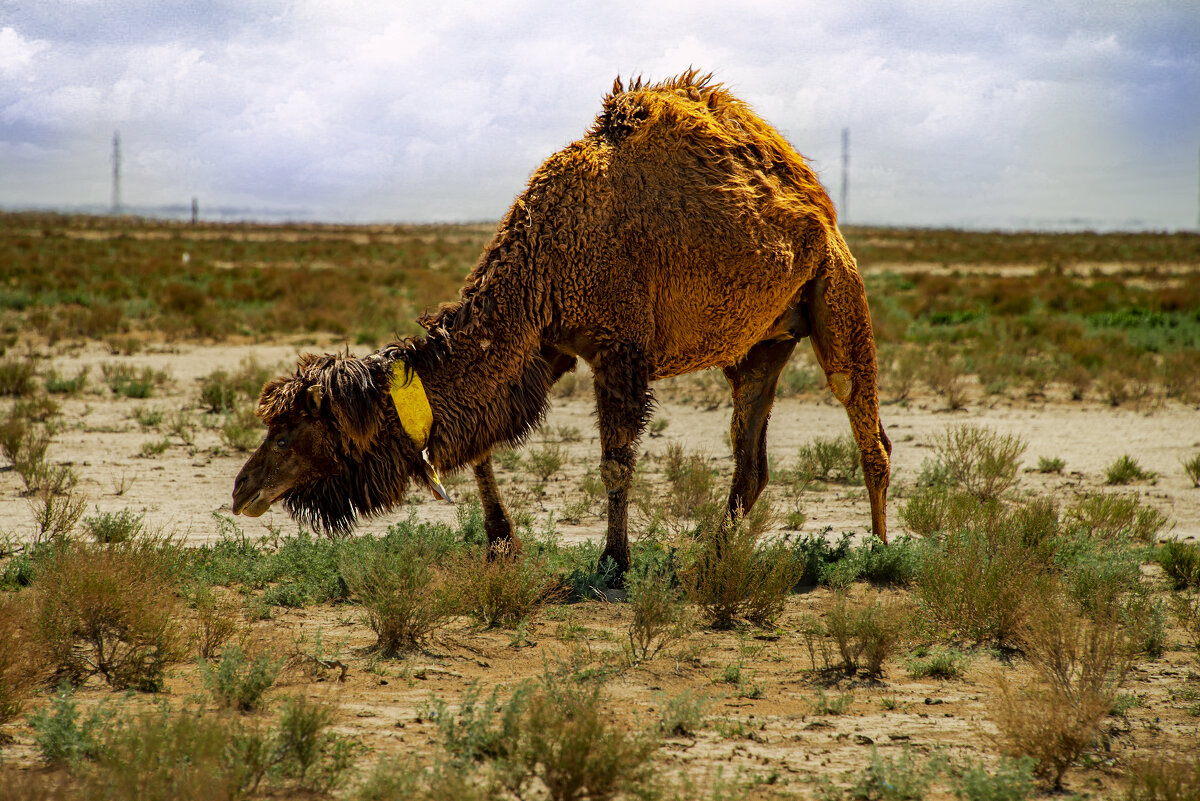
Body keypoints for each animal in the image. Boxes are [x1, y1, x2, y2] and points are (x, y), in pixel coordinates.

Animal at [231, 70, 892, 575]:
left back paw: (880, 555)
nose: (242, 490)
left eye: (288, 433)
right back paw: (713, 554)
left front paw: (613, 564)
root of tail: (816, 197)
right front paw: (501, 544)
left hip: (835, 286)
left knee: (864, 421)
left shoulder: (619, 346)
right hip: (762, 342)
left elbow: (616, 461)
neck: (546, 253)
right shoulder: (547, 345)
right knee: (750, 457)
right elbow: (482, 445)